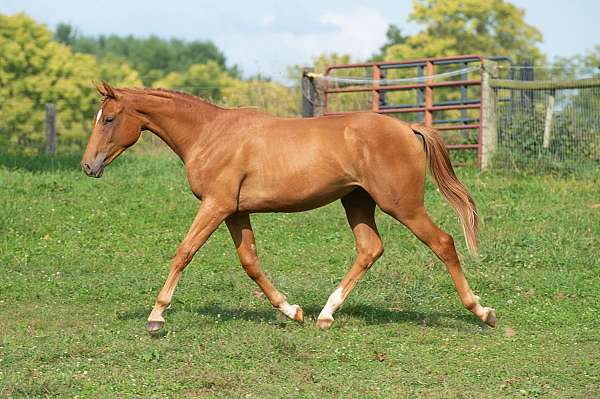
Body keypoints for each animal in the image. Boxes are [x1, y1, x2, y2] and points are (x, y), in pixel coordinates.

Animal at [82, 82, 494, 334]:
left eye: (110, 118)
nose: (88, 166)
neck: (210, 134)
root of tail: (408, 128)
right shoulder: (235, 211)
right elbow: (250, 262)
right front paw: (291, 310)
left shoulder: (216, 206)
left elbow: (184, 252)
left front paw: (156, 317)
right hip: (357, 201)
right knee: (369, 248)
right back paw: (325, 315)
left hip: (402, 205)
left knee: (443, 243)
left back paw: (482, 311)